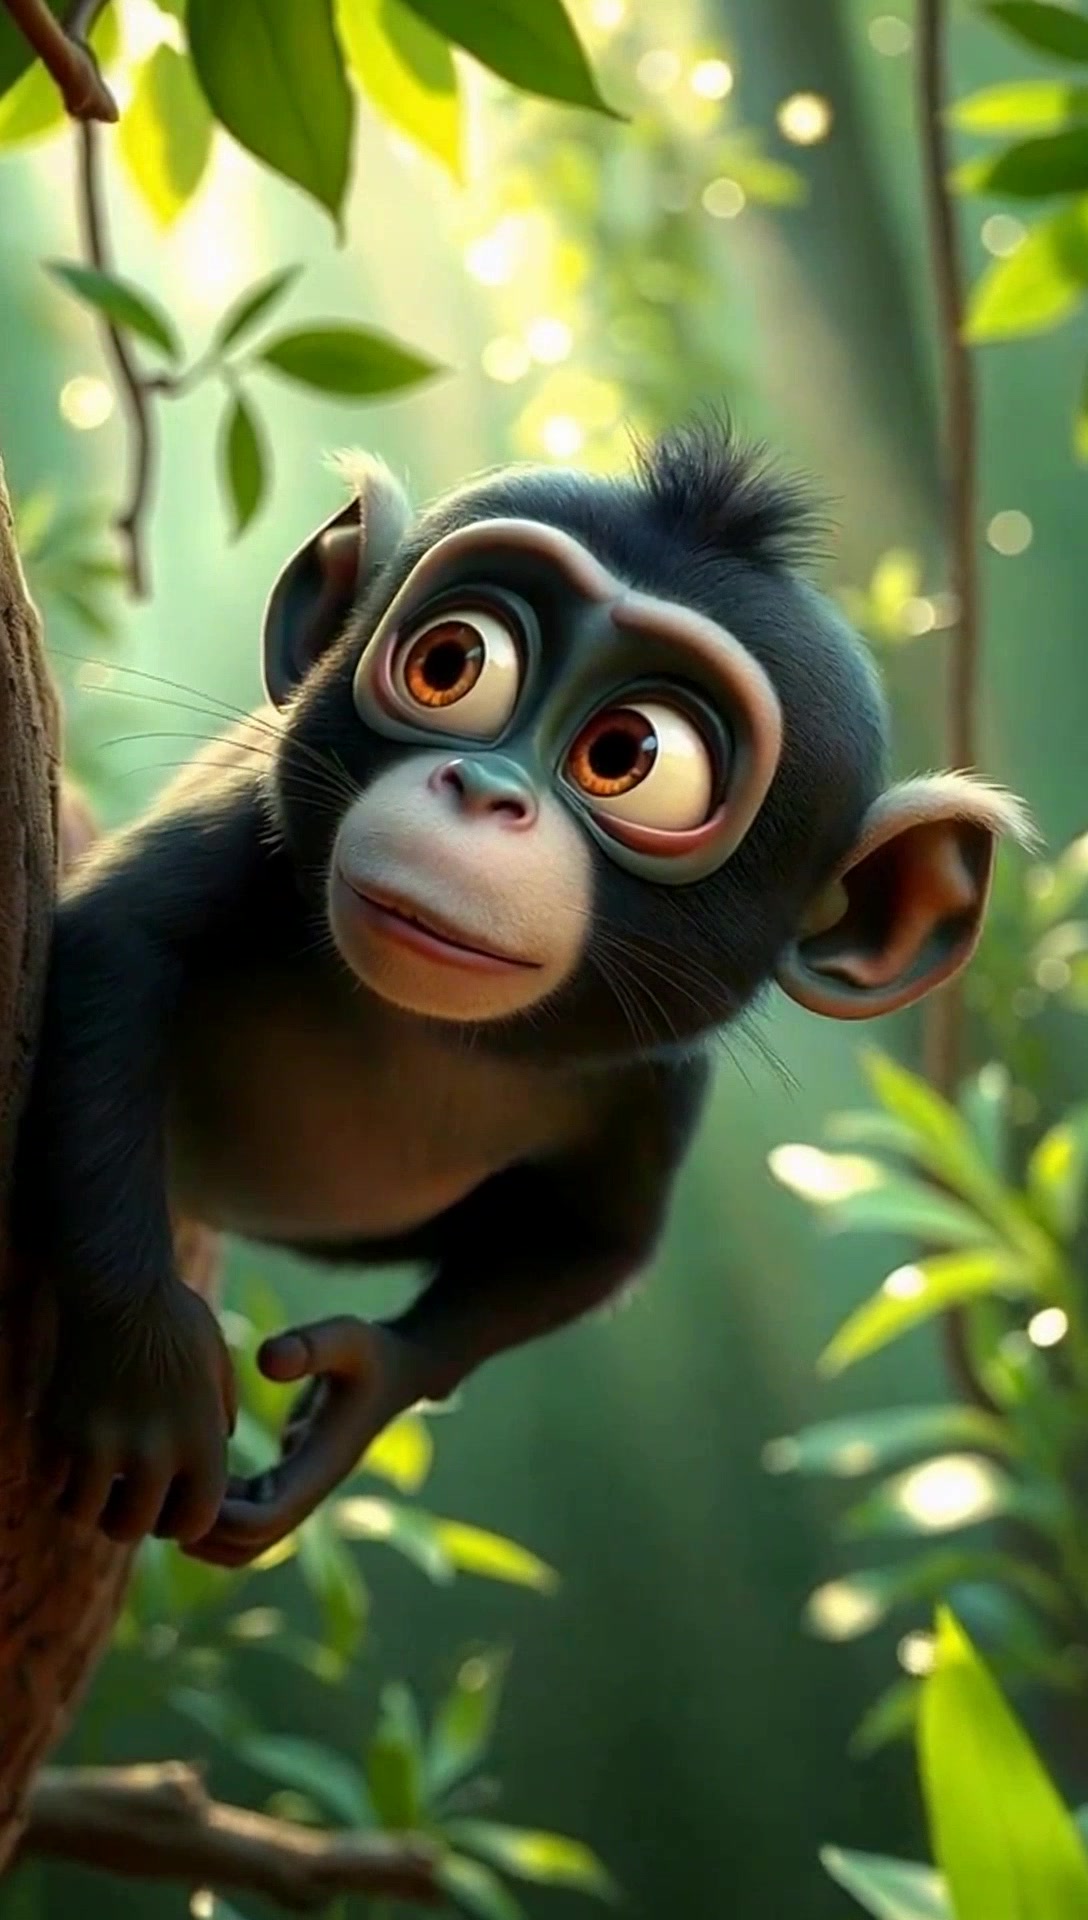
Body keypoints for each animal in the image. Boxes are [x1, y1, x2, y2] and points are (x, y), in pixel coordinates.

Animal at [13, 419, 1032, 1570]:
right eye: (451, 665)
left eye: (628, 755)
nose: (483, 789)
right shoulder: (247, 828)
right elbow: (113, 948)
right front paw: (143, 1370)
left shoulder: (656, 1081)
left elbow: (595, 1245)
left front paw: (361, 1395)